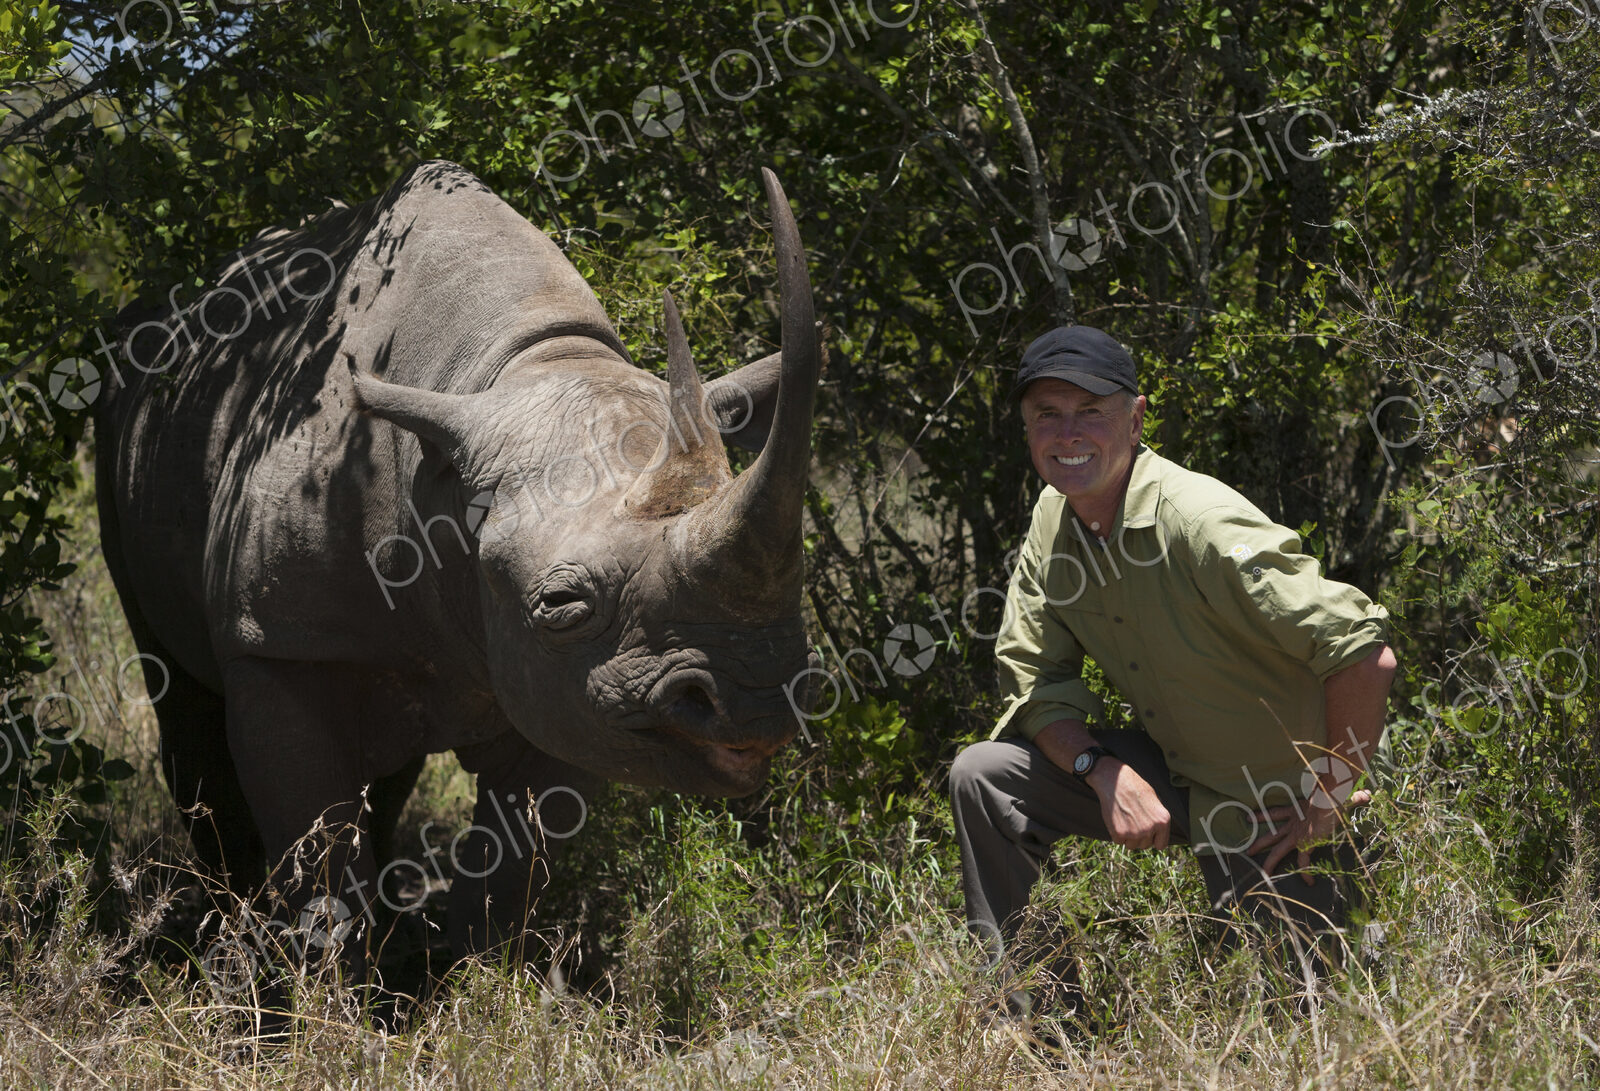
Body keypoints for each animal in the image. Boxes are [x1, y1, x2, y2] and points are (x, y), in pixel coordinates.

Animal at [94, 160, 822, 964]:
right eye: (560, 604)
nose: (755, 702)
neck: (502, 373)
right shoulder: (281, 643)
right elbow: (317, 853)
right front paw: (326, 990)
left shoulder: (572, 692)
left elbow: (513, 866)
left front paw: (483, 978)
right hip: (122, 424)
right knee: (182, 697)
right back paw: (230, 926)